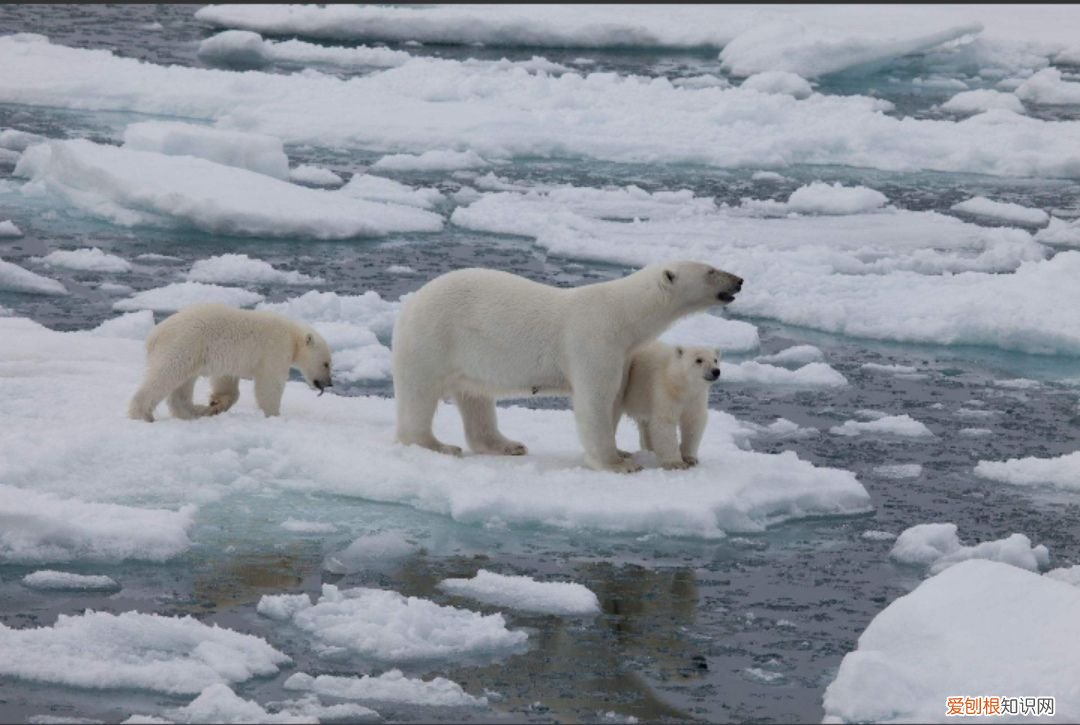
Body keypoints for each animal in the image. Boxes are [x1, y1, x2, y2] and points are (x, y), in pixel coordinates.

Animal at [390, 263, 743, 473]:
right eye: (711, 270)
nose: (739, 280)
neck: (622, 315)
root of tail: (410, 304)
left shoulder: (623, 354)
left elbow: (614, 400)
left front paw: (625, 451)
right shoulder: (595, 340)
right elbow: (595, 401)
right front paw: (618, 463)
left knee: (475, 397)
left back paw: (508, 445)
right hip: (433, 339)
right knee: (420, 395)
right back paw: (437, 445)